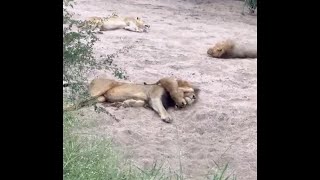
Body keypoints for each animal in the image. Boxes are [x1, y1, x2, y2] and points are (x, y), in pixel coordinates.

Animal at [63, 77, 199, 122]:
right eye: (191, 93)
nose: (193, 98)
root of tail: (92, 80)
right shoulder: (154, 97)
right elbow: (162, 108)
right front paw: (167, 117)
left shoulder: (148, 102)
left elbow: (139, 103)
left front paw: (125, 103)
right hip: (95, 93)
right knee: (74, 102)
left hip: (99, 99)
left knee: (79, 104)